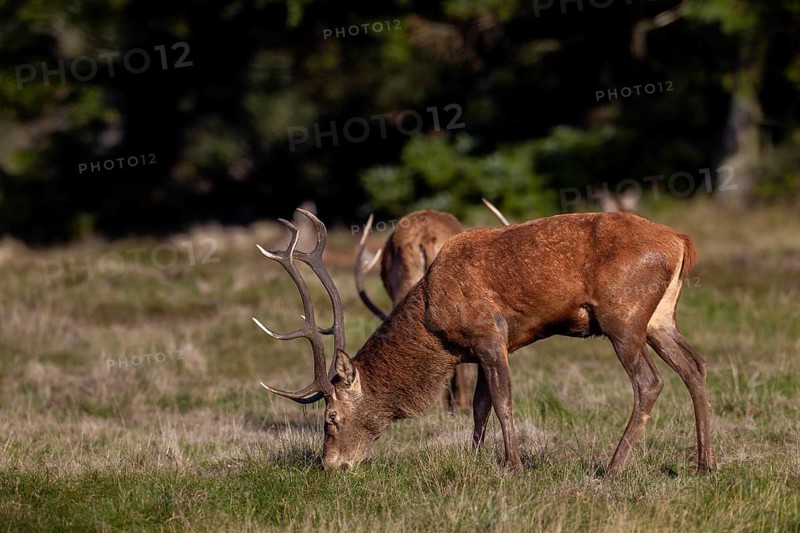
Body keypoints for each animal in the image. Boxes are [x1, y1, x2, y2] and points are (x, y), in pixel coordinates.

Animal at [253, 209, 714, 476]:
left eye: (330, 418)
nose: (329, 465)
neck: (435, 320)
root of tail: (681, 242)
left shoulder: (488, 335)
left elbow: (503, 400)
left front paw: (515, 466)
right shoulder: (479, 349)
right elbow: (479, 406)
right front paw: (474, 460)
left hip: (623, 315)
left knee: (649, 382)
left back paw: (613, 468)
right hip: (659, 317)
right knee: (695, 366)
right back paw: (705, 465)